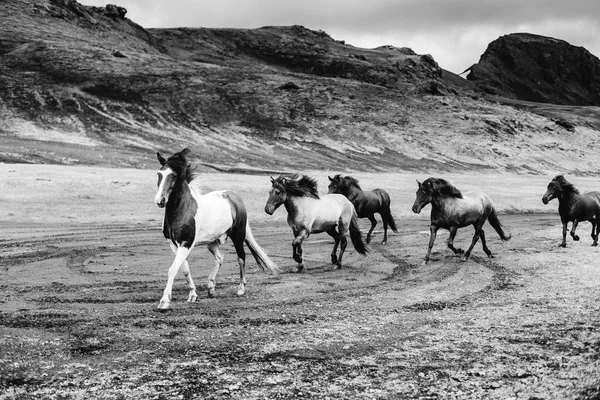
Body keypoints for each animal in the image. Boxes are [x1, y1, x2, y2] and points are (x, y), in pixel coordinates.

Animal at [152, 148, 278, 308]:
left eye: (173, 175)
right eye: (159, 174)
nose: (160, 201)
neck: (182, 210)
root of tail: (234, 196)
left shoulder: (186, 243)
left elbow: (173, 269)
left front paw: (164, 301)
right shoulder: (174, 245)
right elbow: (184, 269)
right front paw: (193, 295)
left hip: (237, 236)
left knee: (241, 257)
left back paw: (240, 289)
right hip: (212, 241)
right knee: (219, 258)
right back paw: (211, 287)